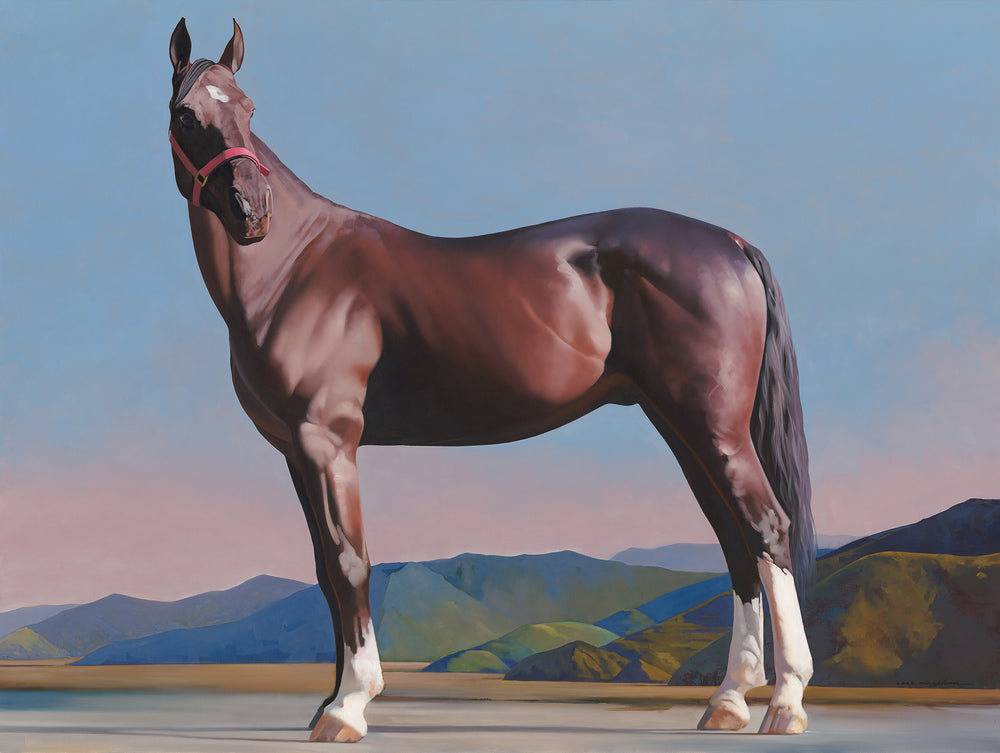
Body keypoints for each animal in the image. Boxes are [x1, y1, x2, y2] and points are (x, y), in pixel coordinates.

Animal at [167, 18, 816, 742]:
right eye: (187, 115)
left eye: (250, 110)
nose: (252, 211)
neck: (298, 268)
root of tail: (729, 243)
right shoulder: (293, 451)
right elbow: (323, 570)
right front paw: (327, 703)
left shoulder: (327, 440)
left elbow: (348, 561)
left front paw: (349, 705)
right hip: (682, 428)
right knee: (735, 544)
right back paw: (728, 700)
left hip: (714, 428)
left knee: (768, 528)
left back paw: (786, 702)